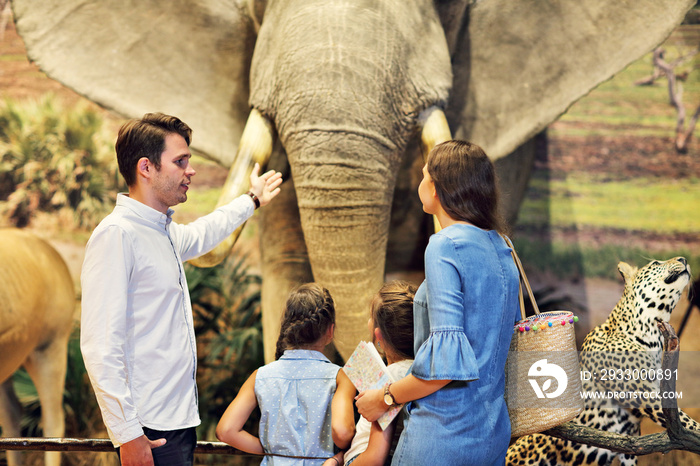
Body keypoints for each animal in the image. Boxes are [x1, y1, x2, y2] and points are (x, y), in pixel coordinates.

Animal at [506, 256, 696, 464]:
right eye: (655, 263)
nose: (684, 259)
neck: (653, 332)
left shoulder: (630, 440)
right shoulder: (642, 391)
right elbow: (688, 422)